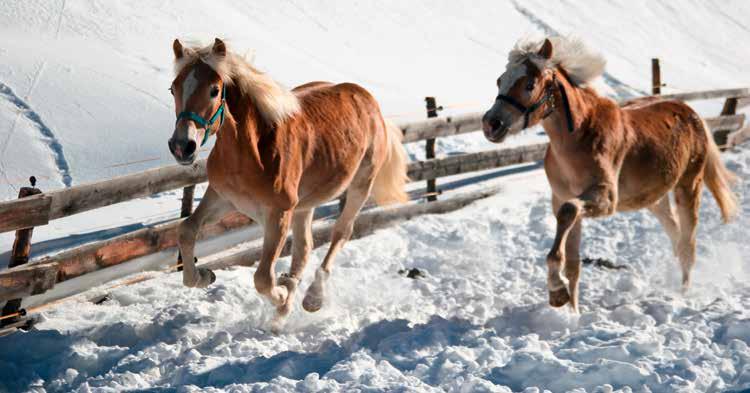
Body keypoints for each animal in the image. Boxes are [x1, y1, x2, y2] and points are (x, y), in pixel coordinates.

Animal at [167, 39, 408, 322]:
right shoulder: (222, 198)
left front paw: (281, 293)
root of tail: (369, 101)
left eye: (215, 90)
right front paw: (204, 276)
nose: (182, 146)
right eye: (173, 88)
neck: (254, 152)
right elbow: (186, 229)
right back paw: (287, 301)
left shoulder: (279, 214)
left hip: (360, 185)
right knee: (304, 248)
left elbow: (262, 278)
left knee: (341, 232)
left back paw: (311, 298)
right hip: (305, 205)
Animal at [482, 37, 740, 312]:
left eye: (529, 84)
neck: (578, 138)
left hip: (689, 186)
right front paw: (570, 309)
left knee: (688, 244)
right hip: (655, 200)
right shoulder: (561, 199)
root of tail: (692, 114)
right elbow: (573, 263)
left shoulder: (604, 200)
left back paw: (682, 296)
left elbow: (569, 213)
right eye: (500, 80)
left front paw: (557, 292)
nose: (491, 124)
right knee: (676, 236)